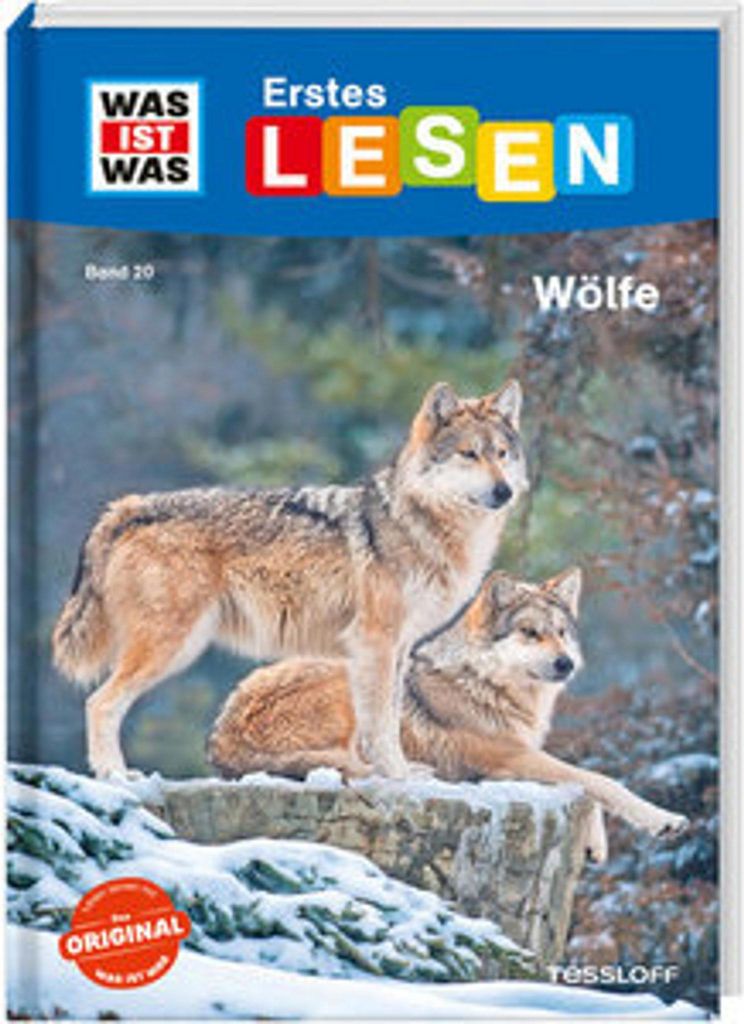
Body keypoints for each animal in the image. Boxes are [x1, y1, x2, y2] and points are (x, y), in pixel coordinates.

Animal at [53, 379, 528, 780]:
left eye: (501, 454)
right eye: (469, 454)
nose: (504, 491)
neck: (422, 523)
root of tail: (130, 505)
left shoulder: (399, 647)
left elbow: (391, 718)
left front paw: (400, 771)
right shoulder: (375, 641)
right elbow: (379, 725)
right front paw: (397, 776)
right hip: (172, 646)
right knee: (99, 702)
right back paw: (114, 774)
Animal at [208, 567, 688, 860]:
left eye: (561, 633)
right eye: (529, 633)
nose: (565, 664)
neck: (488, 683)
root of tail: (220, 737)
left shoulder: (519, 758)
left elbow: (585, 783)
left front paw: (595, 844)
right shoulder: (511, 757)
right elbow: (598, 781)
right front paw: (664, 820)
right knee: (358, 767)